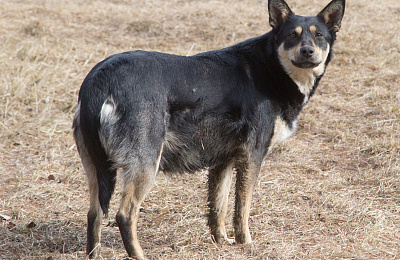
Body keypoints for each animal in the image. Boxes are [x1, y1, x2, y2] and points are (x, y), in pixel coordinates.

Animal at [74, 0, 344, 258]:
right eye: (291, 36)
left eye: (319, 36)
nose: (307, 51)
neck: (273, 66)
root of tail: (99, 81)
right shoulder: (252, 156)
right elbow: (242, 208)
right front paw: (245, 244)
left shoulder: (223, 161)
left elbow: (218, 207)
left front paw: (221, 241)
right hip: (145, 164)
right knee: (125, 215)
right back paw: (139, 255)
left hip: (96, 168)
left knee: (94, 214)